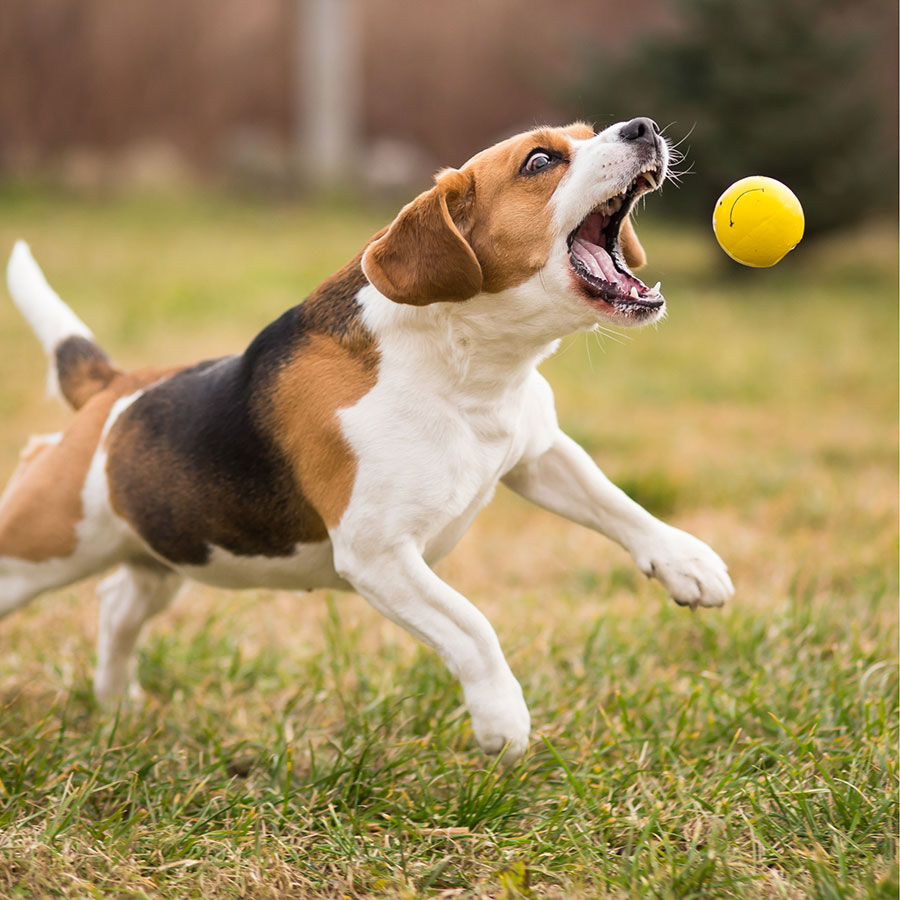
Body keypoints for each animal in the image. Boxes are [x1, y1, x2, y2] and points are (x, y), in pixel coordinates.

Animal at [1, 119, 732, 760]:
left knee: (117, 602)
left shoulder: (537, 453)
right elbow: (472, 626)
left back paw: (116, 703)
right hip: (41, 546)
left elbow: (618, 505)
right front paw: (502, 719)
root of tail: (112, 390)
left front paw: (687, 563)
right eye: (540, 161)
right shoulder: (380, 555)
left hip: (170, 552)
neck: (468, 366)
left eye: (587, 134)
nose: (643, 127)